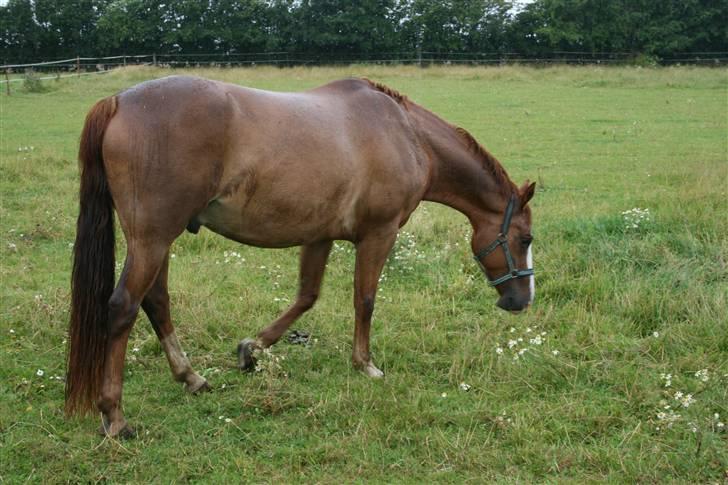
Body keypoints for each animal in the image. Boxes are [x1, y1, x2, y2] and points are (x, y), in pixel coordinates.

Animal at [67, 74, 536, 434]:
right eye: (525, 239)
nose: (521, 300)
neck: (405, 134)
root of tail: (119, 102)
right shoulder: (378, 234)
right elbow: (364, 300)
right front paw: (365, 364)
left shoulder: (319, 235)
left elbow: (306, 297)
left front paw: (252, 348)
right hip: (152, 238)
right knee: (124, 306)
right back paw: (115, 416)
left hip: (158, 240)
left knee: (157, 300)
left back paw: (191, 377)